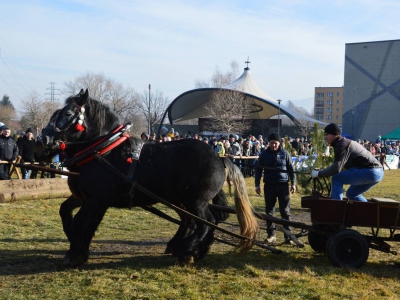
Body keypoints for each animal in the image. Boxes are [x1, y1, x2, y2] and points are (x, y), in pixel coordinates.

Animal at [41, 89, 260, 268]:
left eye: (68, 114)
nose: (44, 138)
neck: (104, 150)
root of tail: (218, 157)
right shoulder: (88, 199)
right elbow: (71, 215)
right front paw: (78, 248)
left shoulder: (95, 200)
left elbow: (80, 222)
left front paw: (75, 253)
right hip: (182, 200)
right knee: (197, 222)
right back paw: (193, 250)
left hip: (195, 201)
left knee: (206, 222)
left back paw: (187, 252)